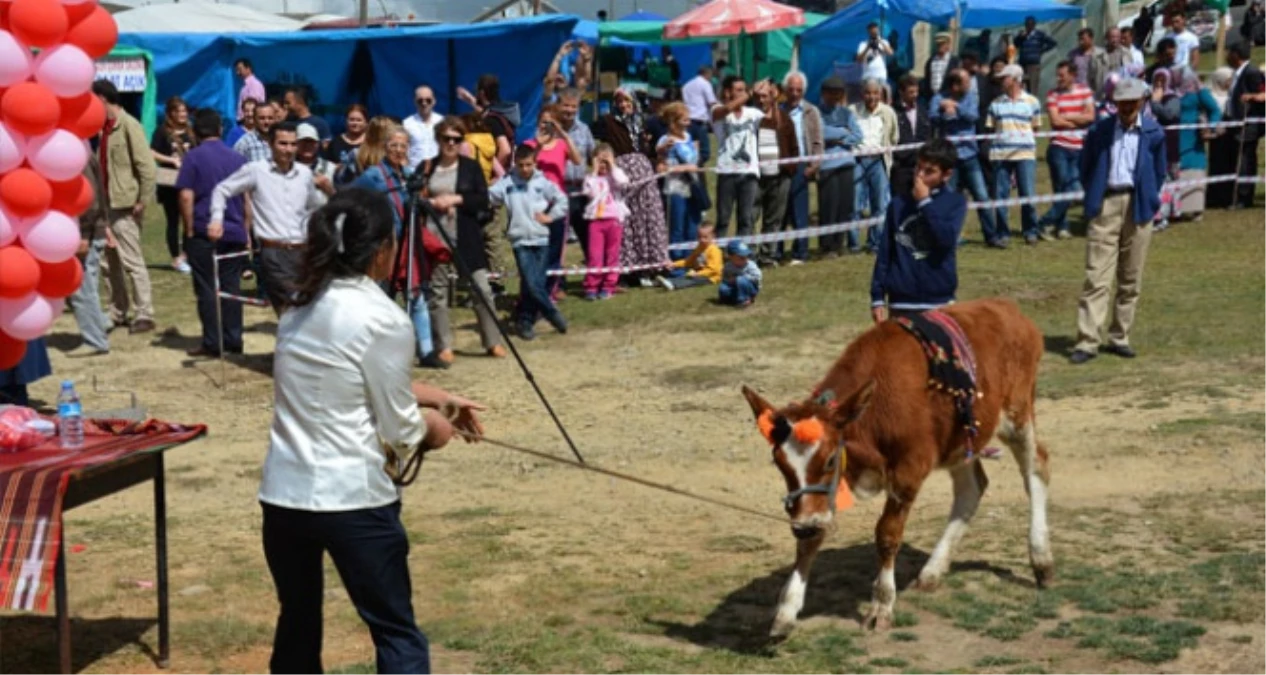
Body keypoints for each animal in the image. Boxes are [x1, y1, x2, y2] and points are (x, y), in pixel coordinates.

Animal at [739, 300, 1048, 635]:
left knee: (1037, 468)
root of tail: (1008, 308)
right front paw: (787, 608)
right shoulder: (819, 496)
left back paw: (1041, 559)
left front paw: (882, 603)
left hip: (1017, 414)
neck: (873, 415)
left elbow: (887, 534)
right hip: (961, 439)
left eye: (831, 459)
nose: (802, 526)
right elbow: (811, 540)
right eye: (778, 463)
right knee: (972, 488)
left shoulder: (908, 472)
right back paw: (933, 571)